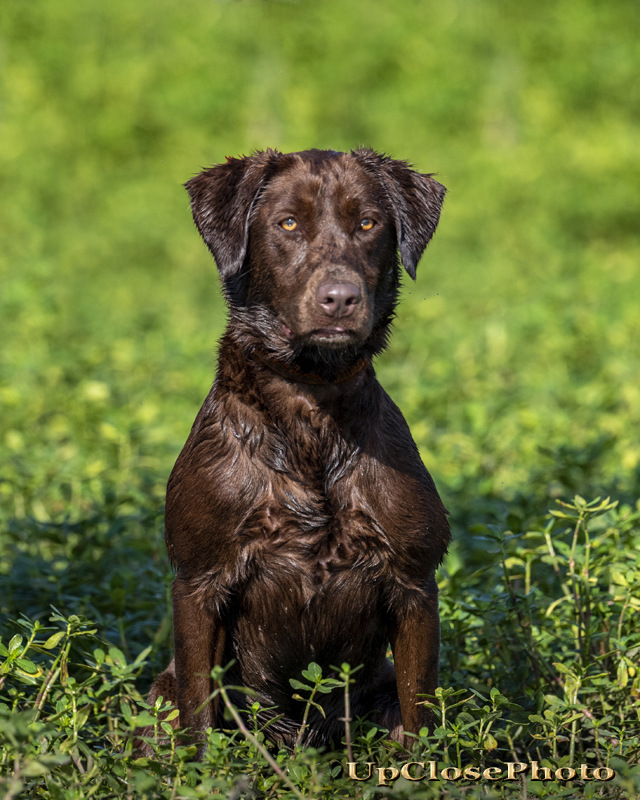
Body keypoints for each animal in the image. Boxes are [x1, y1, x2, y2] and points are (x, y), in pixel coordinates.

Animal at [141, 150, 450, 756]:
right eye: (287, 223)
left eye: (368, 223)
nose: (340, 298)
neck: (312, 411)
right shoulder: (198, 583)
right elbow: (199, 716)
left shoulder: (414, 587)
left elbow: (419, 722)